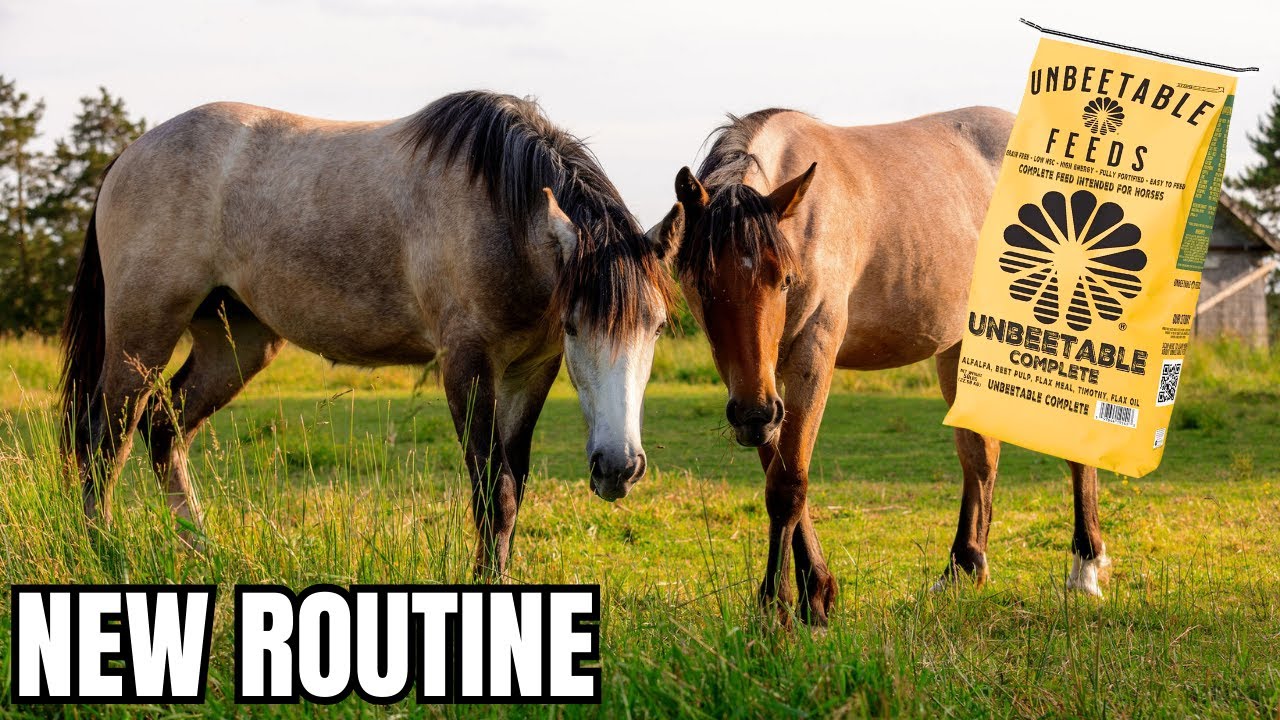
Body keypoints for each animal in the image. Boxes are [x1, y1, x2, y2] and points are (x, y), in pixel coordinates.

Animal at [59, 90, 685, 577]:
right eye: (576, 325)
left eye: (656, 327)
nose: (618, 468)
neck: (499, 212)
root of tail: (130, 154)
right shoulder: (468, 363)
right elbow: (492, 490)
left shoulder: (531, 370)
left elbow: (513, 492)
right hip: (142, 334)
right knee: (103, 439)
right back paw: (103, 553)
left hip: (234, 344)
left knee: (164, 430)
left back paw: (204, 553)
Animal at [668, 106, 1110, 626]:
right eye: (701, 282)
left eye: (785, 280)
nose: (755, 414)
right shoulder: (753, 381)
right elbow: (778, 471)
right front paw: (815, 590)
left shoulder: (812, 353)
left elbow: (787, 484)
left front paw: (781, 605)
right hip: (959, 346)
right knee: (978, 454)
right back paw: (964, 567)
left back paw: (1085, 568)